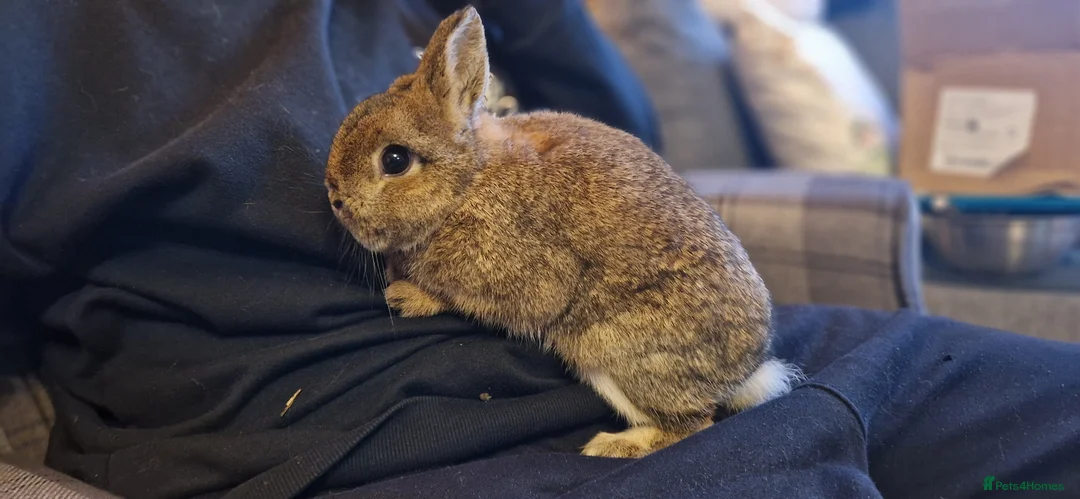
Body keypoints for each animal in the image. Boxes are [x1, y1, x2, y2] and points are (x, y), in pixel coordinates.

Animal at [325, 6, 801, 459]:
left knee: (694, 424)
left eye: (395, 160)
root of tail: (746, 372)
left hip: (610, 351)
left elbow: (472, 299)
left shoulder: (524, 276)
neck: (468, 181)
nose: (335, 199)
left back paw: (612, 445)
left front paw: (407, 296)